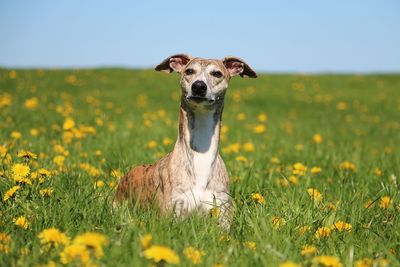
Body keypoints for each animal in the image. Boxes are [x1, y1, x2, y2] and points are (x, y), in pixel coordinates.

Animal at [115, 54, 256, 226]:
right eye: (189, 71)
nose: (199, 86)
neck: (201, 156)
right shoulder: (173, 215)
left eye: (217, 73)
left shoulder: (223, 218)